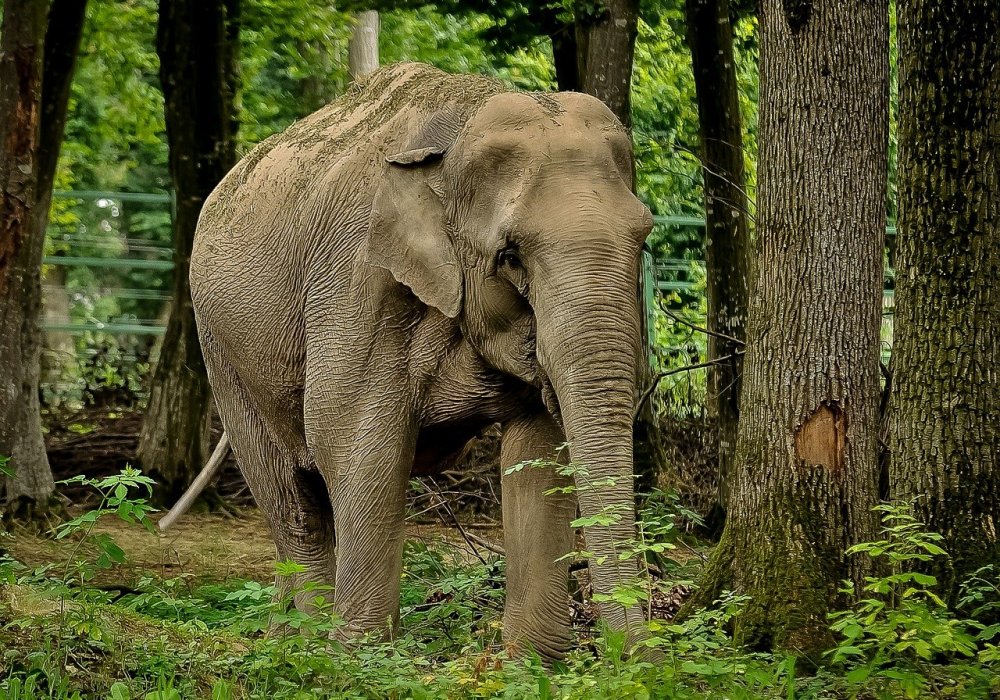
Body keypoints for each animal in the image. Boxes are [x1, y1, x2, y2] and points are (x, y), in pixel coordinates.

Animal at [177, 63, 652, 660]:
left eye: (644, 237)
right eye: (510, 255)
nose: (636, 656)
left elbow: (539, 447)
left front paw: (530, 663)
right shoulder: (357, 276)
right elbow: (353, 441)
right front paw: (360, 658)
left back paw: (281, 638)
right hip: (223, 350)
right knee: (292, 498)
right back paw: (303, 646)